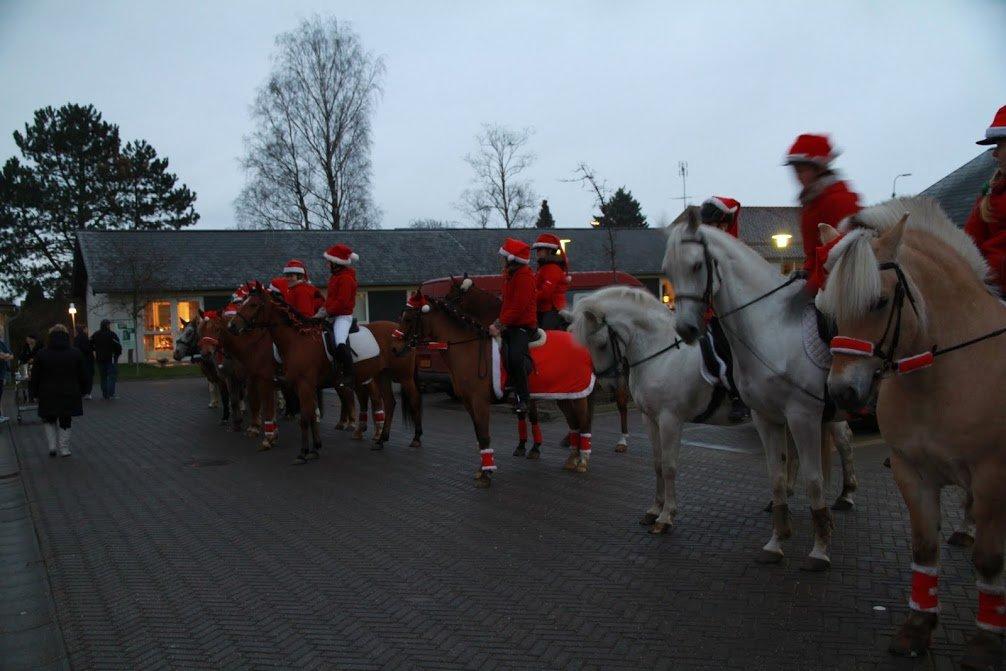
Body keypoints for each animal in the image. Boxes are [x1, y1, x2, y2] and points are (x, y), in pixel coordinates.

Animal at [230, 281, 384, 464]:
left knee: (377, 403)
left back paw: (378, 437)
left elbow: (303, 418)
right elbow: (311, 416)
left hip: (369, 378)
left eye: (253, 304)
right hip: (363, 379)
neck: (296, 341)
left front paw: (302, 452)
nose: (232, 326)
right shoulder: (299, 386)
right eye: (243, 302)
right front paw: (315, 448)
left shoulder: (300, 384)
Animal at [394, 283, 595, 488]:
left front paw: (486, 474)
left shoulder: (480, 401)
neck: (469, 349)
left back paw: (582, 461)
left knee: (584, 423)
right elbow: (479, 435)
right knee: (574, 423)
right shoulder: (469, 403)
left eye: (409, 318)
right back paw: (572, 459)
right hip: (564, 395)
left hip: (577, 396)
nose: (395, 348)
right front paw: (482, 469)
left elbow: (484, 435)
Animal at [571, 285, 853, 539]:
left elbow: (669, 466)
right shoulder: (649, 419)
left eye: (600, 343)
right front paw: (653, 510)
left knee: (844, 442)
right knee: (794, 451)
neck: (661, 351)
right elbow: (657, 464)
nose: (608, 385)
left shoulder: (670, 419)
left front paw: (665, 517)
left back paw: (846, 495)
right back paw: (784, 497)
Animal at [663, 212, 853, 571]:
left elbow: (814, 479)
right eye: (667, 270)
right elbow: (776, 477)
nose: (686, 329)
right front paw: (776, 542)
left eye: (696, 265)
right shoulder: (767, 417)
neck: (770, 327)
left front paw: (820, 549)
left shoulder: (804, 416)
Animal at [816, 197, 1006, 667]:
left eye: (880, 301)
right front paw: (917, 628)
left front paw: (985, 642)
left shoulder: (992, 474)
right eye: (827, 310)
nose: (842, 392)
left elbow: (989, 559)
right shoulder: (912, 471)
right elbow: (923, 548)